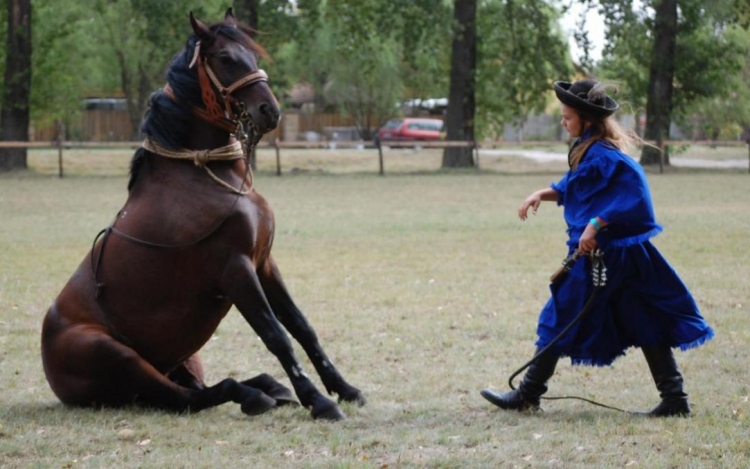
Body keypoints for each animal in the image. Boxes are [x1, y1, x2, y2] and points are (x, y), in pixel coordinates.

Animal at [42, 9, 366, 420]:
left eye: (253, 55)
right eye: (226, 58)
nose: (270, 111)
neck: (200, 177)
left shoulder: (264, 263)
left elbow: (301, 327)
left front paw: (344, 388)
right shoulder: (236, 270)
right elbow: (276, 336)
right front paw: (319, 401)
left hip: (186, 357)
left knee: (195, 388)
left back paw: (267, 387)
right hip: (118, 355)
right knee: (185, 399)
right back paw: (255, 394)